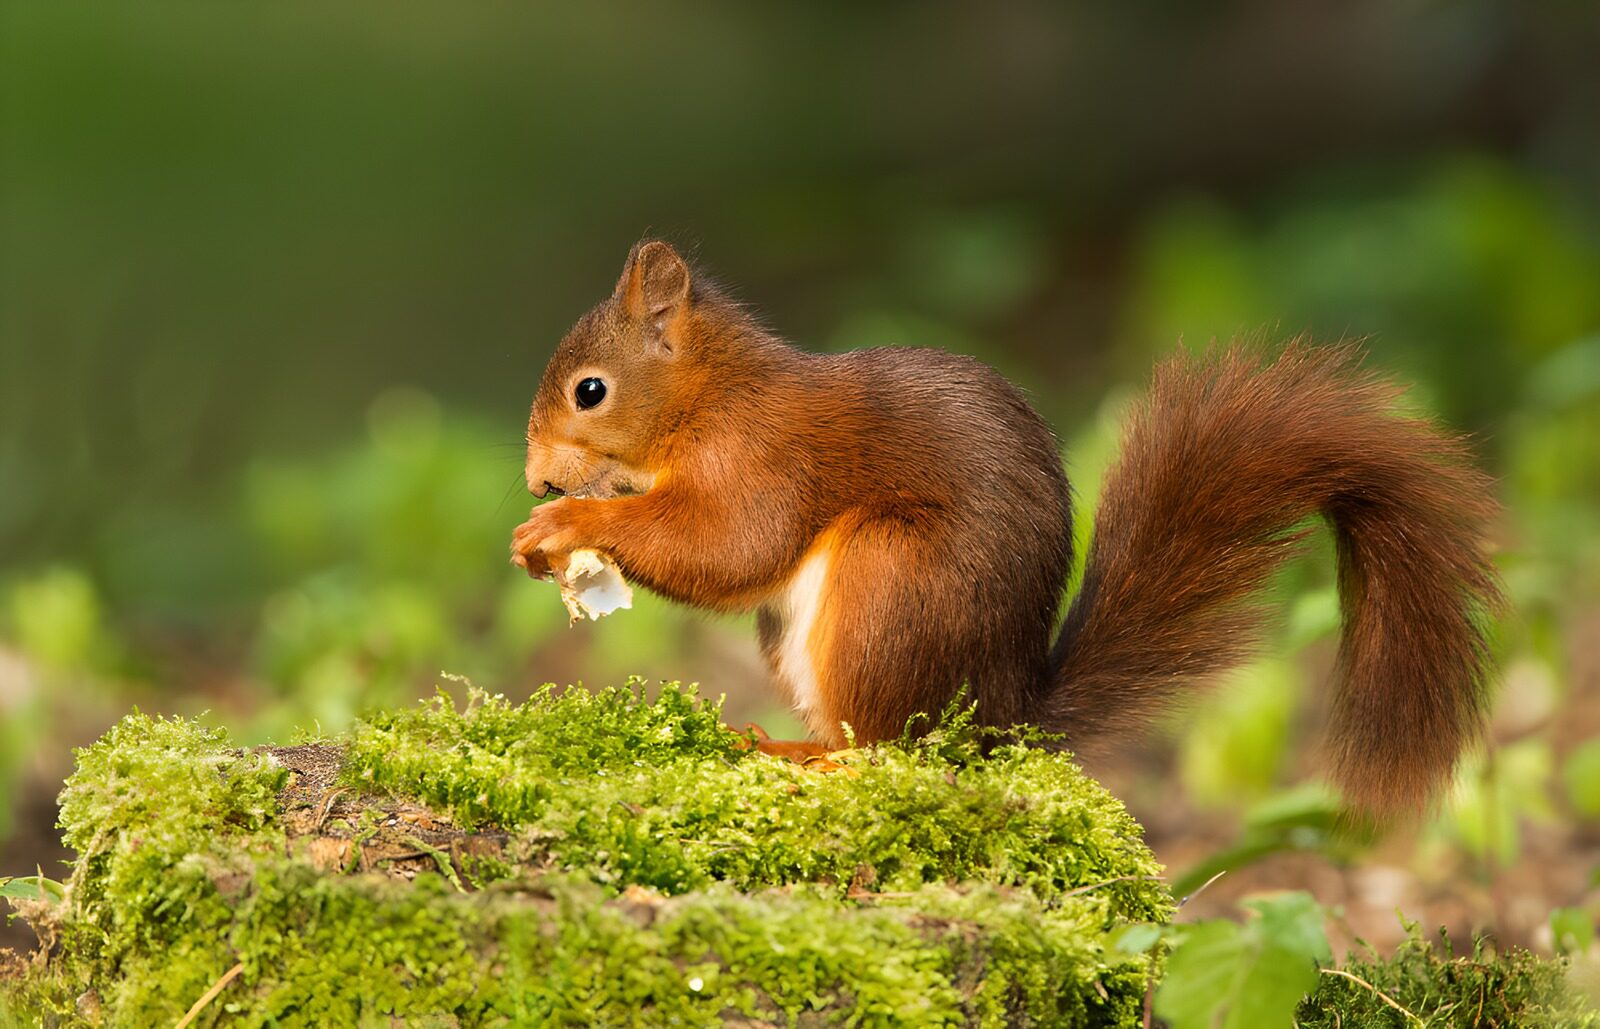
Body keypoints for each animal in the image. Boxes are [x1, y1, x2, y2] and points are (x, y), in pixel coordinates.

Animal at [510, 240, 1503, 815]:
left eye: (590, 390)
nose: (535, 479)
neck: (708, 398)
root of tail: (1002, 716)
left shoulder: (762, 461)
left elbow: (729, 547)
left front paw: (569, 521)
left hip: (890, 580)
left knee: (898, 753)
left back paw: (816, 762)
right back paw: (783, 743)